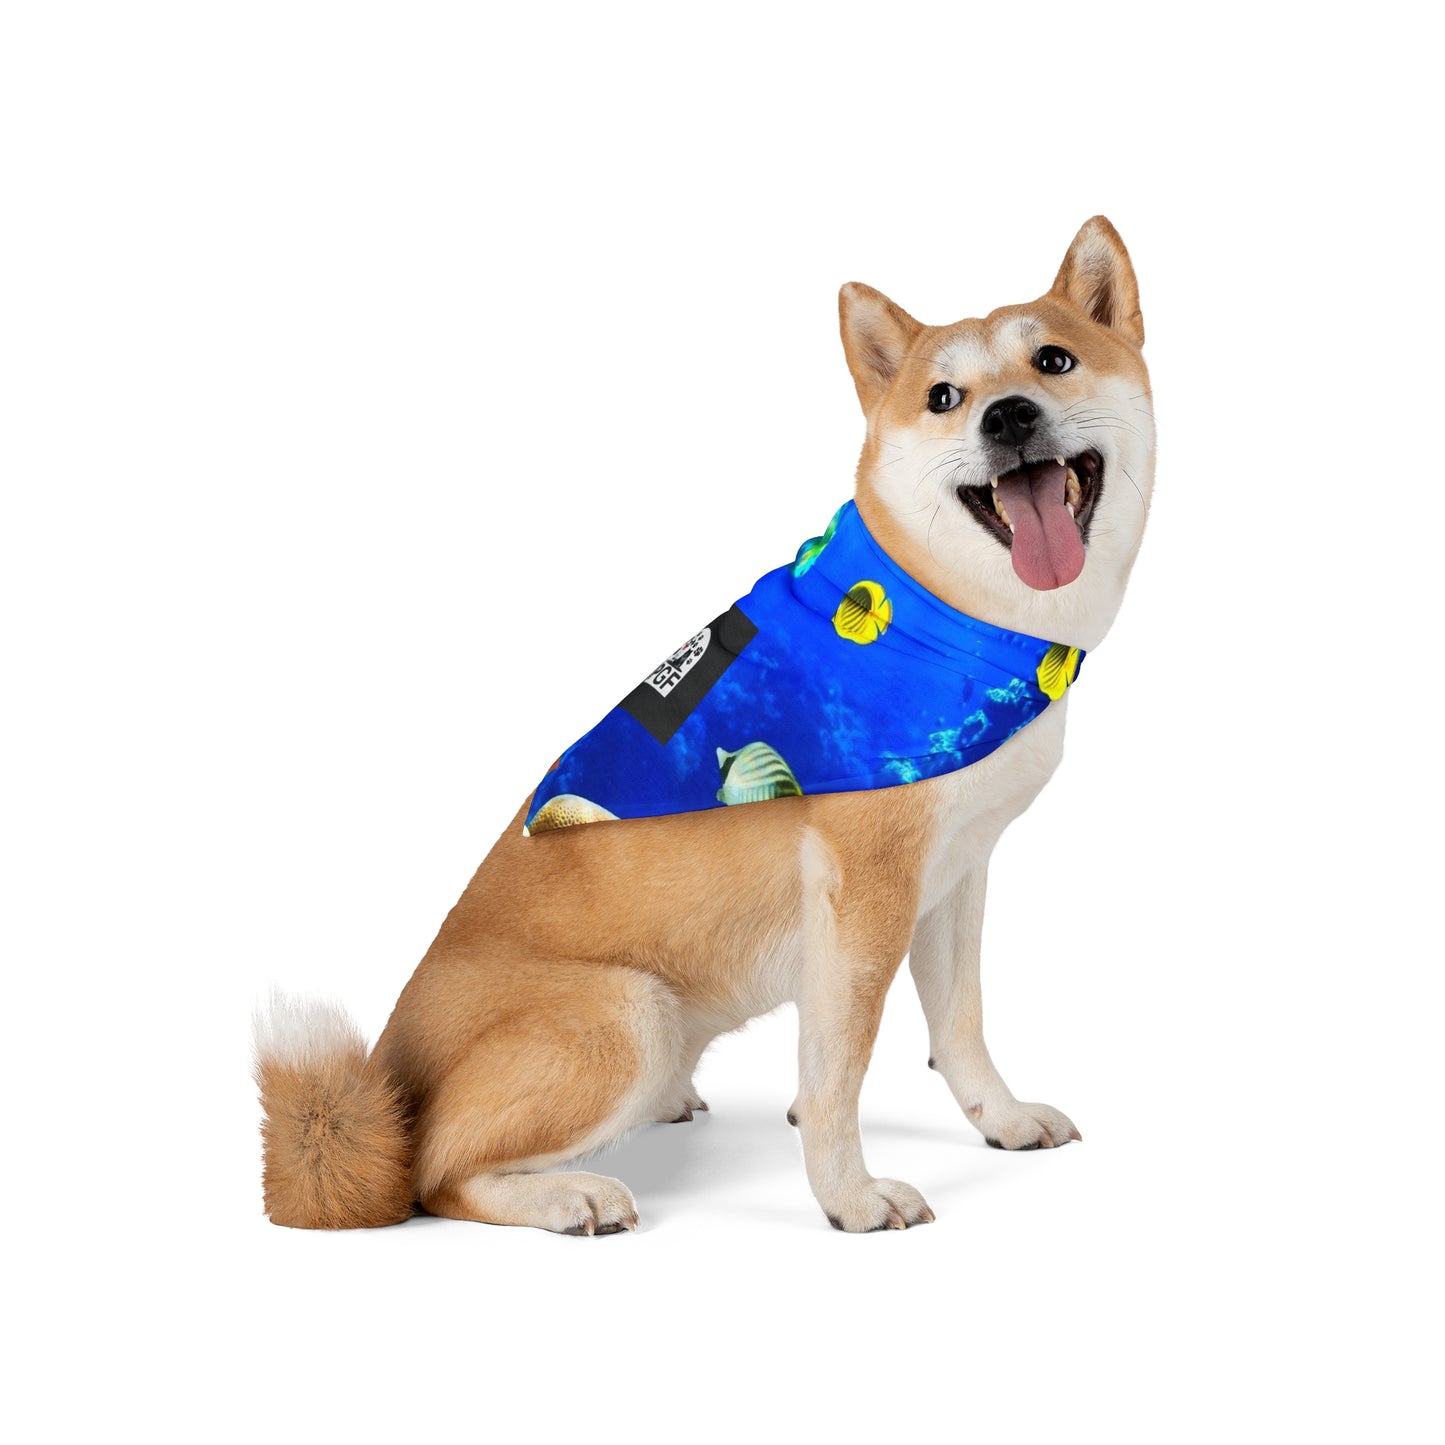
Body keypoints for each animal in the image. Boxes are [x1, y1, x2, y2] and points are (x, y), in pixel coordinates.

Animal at [255, 215, 1153, 1235]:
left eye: (1053, 360)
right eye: (942, 397)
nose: (1004, 416)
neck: (948, 618)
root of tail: (381, 1077)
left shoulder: (955, 871)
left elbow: (959, 1024)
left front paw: (998, 1119)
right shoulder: (864, 891)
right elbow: (837, 1068)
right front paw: (849, 1196)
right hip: (628, 1011)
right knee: (433, 1173)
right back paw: (568, 1193)